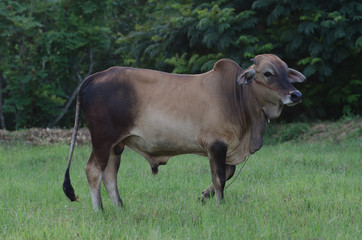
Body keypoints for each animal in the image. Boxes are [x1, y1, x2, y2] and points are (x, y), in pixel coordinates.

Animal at [63, 54, 306, 210]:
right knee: (93, 171)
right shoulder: (216, 145)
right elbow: (220, 178)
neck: (236, 96)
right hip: (102, 140)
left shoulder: (225, 149)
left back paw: (119, 207)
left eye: (287, 72)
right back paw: (100, 210)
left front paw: (204, 196)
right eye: (268, 73)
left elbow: (228, 173)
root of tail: (95, 76)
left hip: (117, 145)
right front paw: (220, 204)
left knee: (110, 175)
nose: (296, 95)